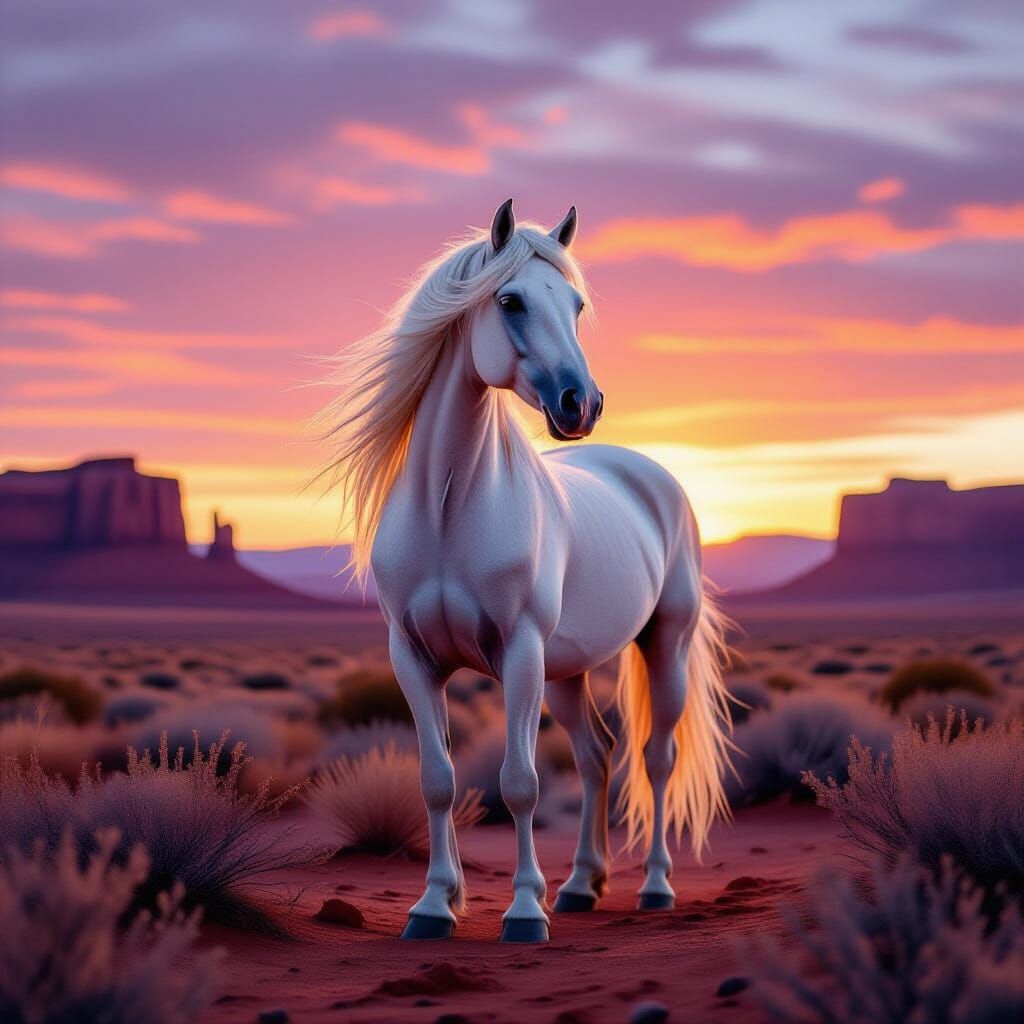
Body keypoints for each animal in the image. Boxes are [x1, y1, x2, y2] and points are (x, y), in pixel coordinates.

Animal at [320, 199, 734, 943]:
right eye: (509, 301)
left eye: (575, 304)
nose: (582, 404)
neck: (450, 509)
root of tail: (651, 475)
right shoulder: (414, 657)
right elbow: (438, 779)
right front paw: (436, 905)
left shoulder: (518, 653)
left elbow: (519, 783)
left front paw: (520, 911)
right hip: (565, 671)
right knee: (598, 756)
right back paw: (580, 886)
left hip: (664, 645)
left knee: (654, 758)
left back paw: (654, 888)